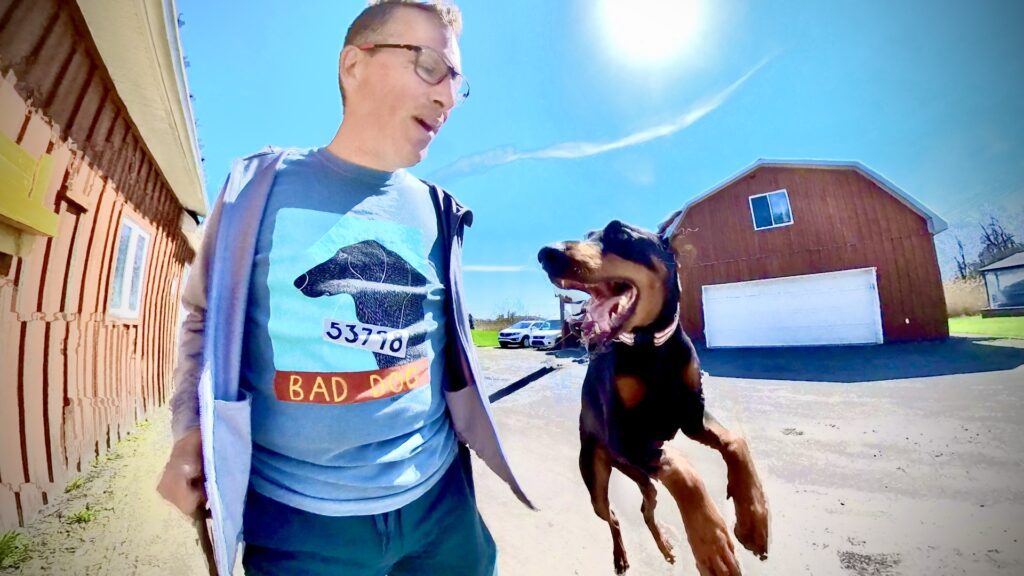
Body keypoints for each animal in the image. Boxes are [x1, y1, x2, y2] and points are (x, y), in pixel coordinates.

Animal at [540, 218, 765, 569]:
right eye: (588, 235)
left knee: (646, 507)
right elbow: (683, 469)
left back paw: (666, 547)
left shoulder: (692, 415)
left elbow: (736, 441)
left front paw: (754, 517)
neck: (651, 347)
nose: (547, 254)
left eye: (620, 233)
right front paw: (710, 539)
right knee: (613, 516)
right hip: (598, 473)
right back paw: (621, 557)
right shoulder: (625, 434)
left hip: (641, 474)